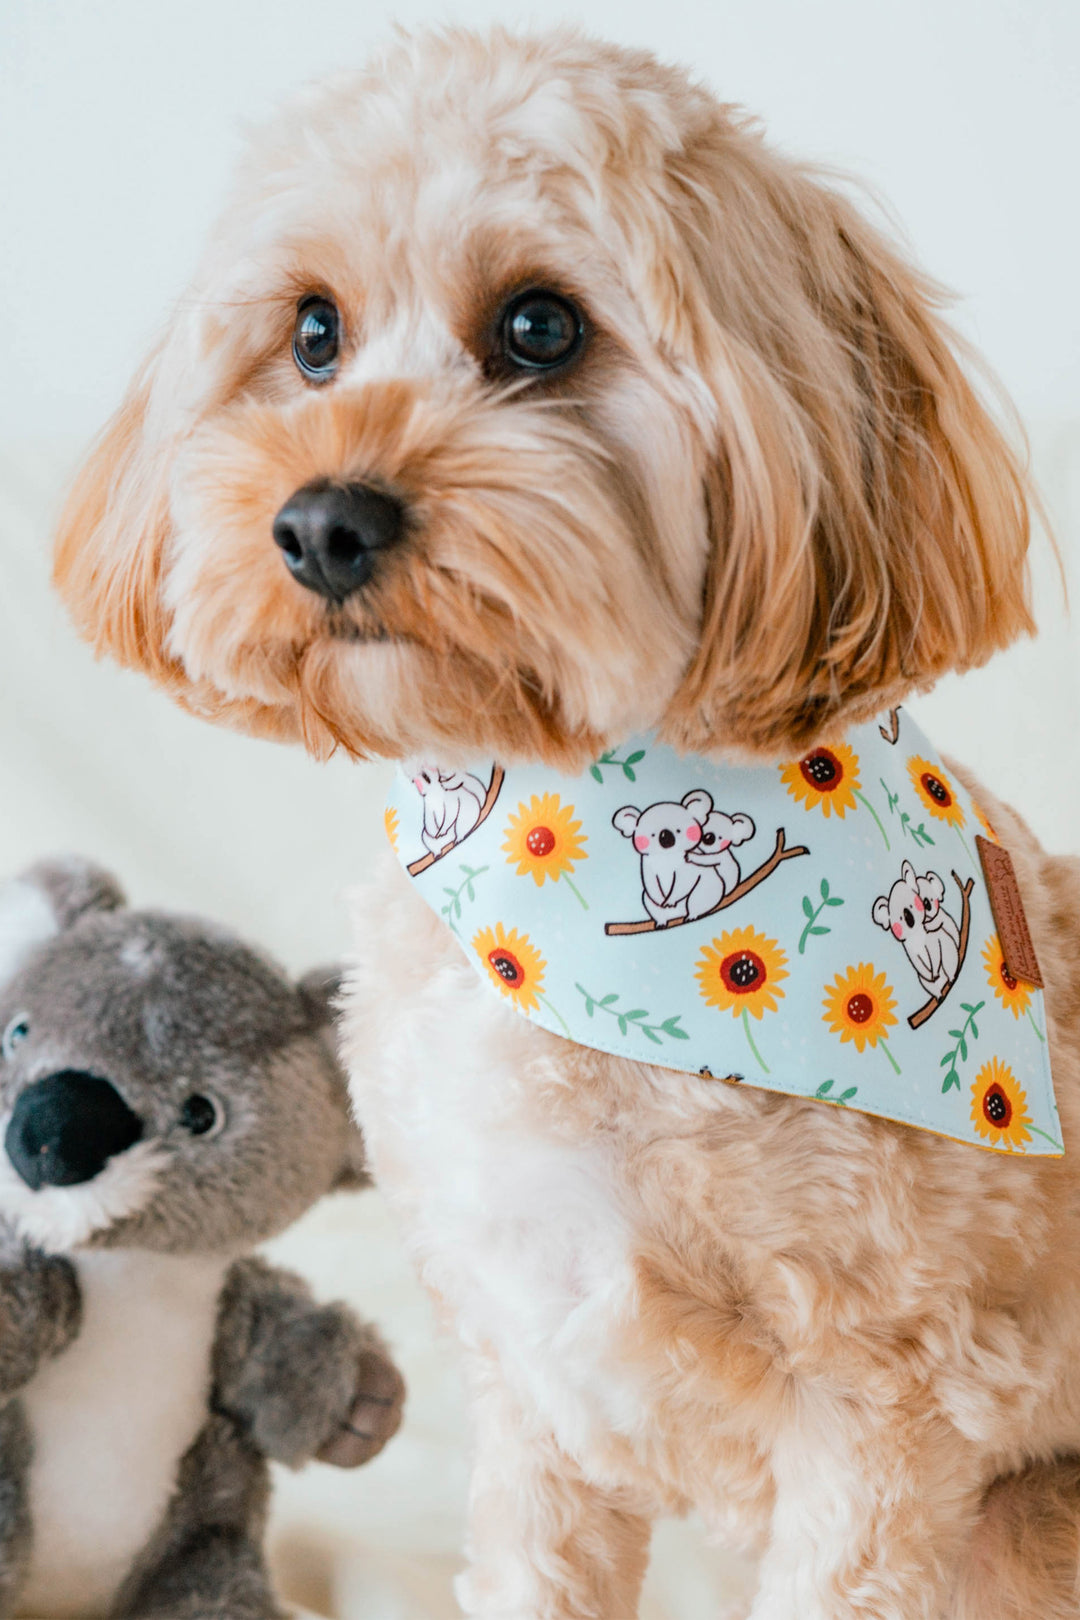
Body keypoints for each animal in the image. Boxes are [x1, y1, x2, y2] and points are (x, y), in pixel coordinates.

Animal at [55, 28, 1080, 1620]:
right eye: (312, 334)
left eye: (541, 326)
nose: (322, 524)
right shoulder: (533, 1375)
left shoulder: (888, 1420)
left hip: (1023, 1533)